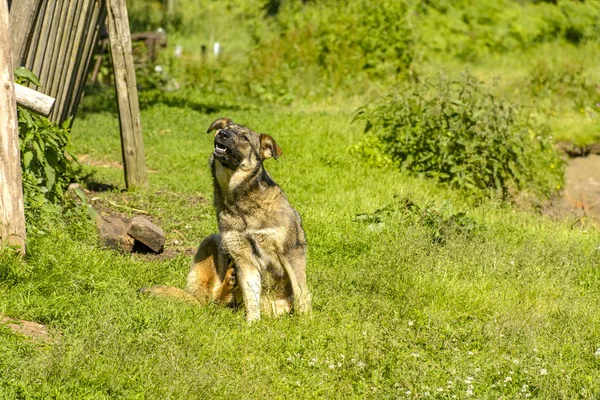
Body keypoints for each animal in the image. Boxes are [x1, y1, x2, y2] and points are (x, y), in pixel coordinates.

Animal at [141, 116, 310, 322]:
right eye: (227, 129)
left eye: (244, 137)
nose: (223, 134)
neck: (239, 202)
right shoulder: (243, 257)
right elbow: (251, 296)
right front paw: (252, 323)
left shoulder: (291, 253)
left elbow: (301, 292)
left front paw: (306, 321)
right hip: (214, 241)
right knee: (212, 300)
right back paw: (228, 284)